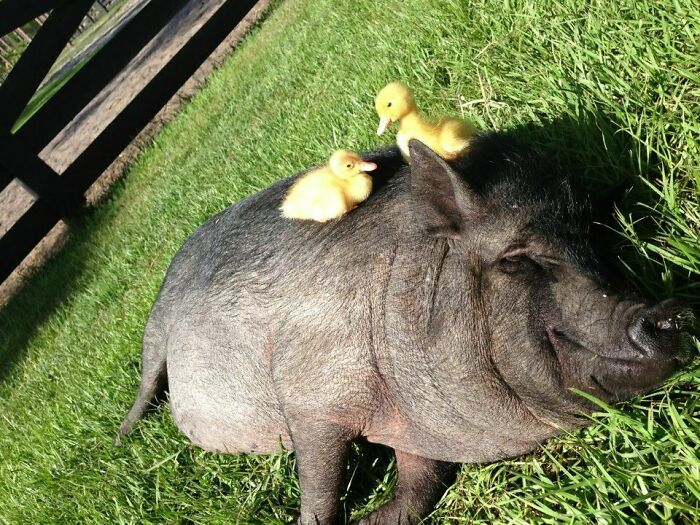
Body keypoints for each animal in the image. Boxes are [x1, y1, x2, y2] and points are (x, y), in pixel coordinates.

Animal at [117, 136, 695, 525]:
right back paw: (125, 434)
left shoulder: (418, 425)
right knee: (147, 380)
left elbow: (420, 489)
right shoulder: (309, 396)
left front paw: (369, 518)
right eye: (514, 258)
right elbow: (319, 488)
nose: (667, 313)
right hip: (156, 328)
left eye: (594, 238)